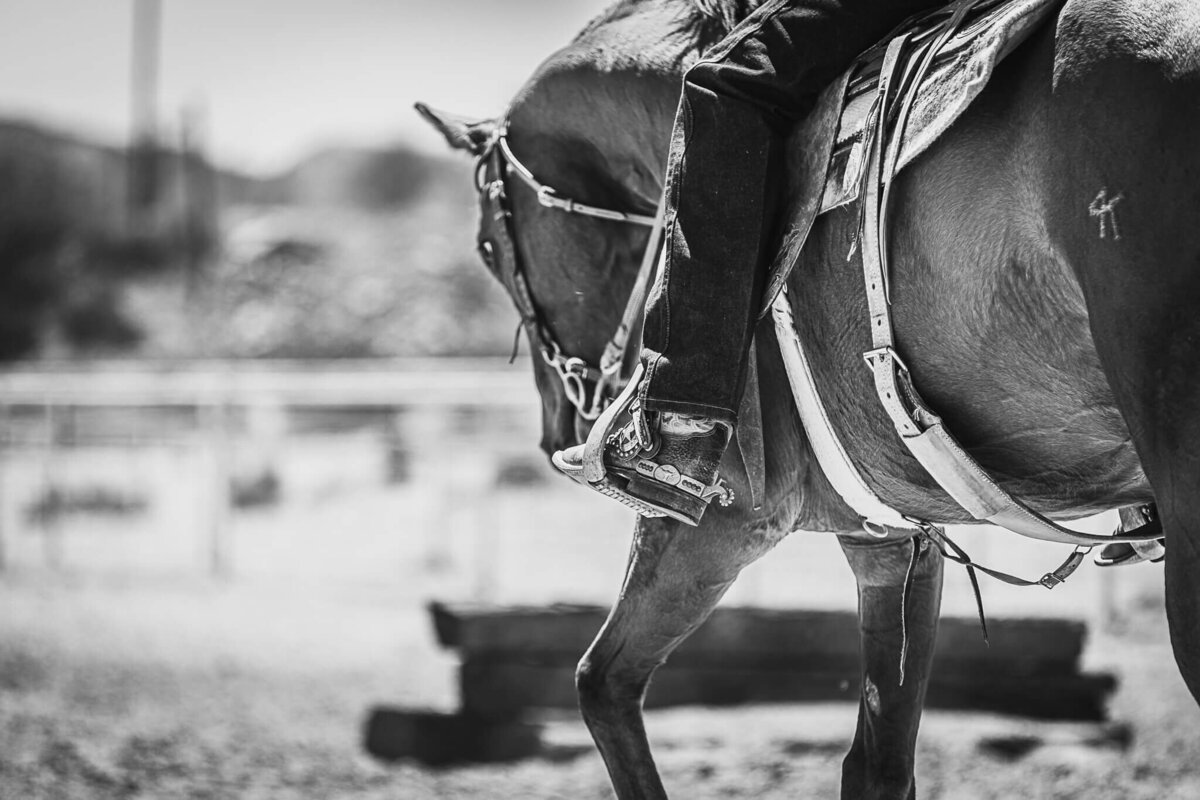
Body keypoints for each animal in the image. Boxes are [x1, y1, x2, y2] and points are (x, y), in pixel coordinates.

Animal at [427, 1, 1200, 796]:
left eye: (487, 248)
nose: (557, 427)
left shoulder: (718, 519)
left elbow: (602, 684)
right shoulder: (892, 538)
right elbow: (878, 761)